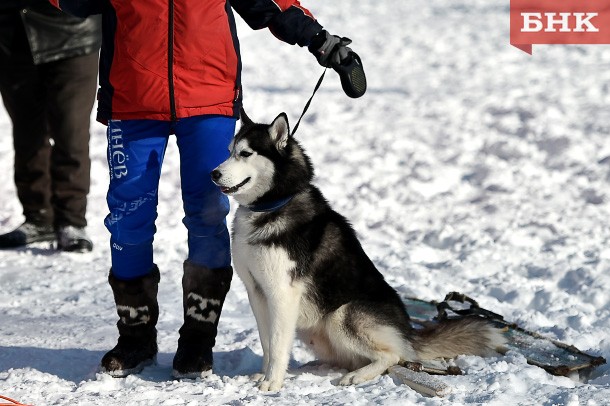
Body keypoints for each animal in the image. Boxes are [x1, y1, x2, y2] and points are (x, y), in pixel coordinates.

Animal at [209, 110, 504, 390]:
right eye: (229, 151)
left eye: (245, 153)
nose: (213, 173)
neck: (272, 205)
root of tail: (408, 332)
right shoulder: (257, 292)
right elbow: (267, 341)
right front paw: (264, 374)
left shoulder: (282, 293)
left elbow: (279, 343)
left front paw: (272, 382)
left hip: (342, 315)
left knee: (394, 356)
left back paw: (357, 376)